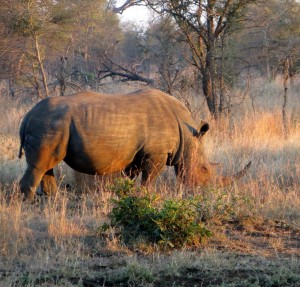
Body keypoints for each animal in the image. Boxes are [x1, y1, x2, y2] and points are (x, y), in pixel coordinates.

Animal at [18, 88, 251, 200]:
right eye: (204, 170)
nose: (206, 192)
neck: (188, 135)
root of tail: (28, 115)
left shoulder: (137, 154)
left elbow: (130, 177)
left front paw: (127, 196)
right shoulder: (156, 155)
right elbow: (148, 180)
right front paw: (146, 198)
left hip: (50, 124)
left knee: (47, 166)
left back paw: (53, 202)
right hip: (48, 124)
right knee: (39, 166)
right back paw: (28, 205)